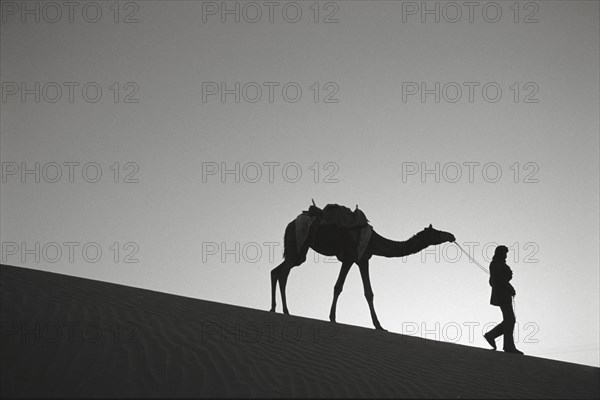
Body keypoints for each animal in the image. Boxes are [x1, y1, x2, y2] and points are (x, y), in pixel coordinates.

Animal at [268, 203, 454, 332]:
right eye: (436, 232)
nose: (451, 235)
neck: (374, 241)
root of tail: (290, 223)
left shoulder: (363, 259)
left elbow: (368, 292)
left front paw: (379, 326)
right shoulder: (351, 258)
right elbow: (339, 287)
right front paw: (333, 318)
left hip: (299, 249)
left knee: (279, 272)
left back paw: (280, 310)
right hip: (298, 243)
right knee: (280, 272)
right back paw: (280, 310)